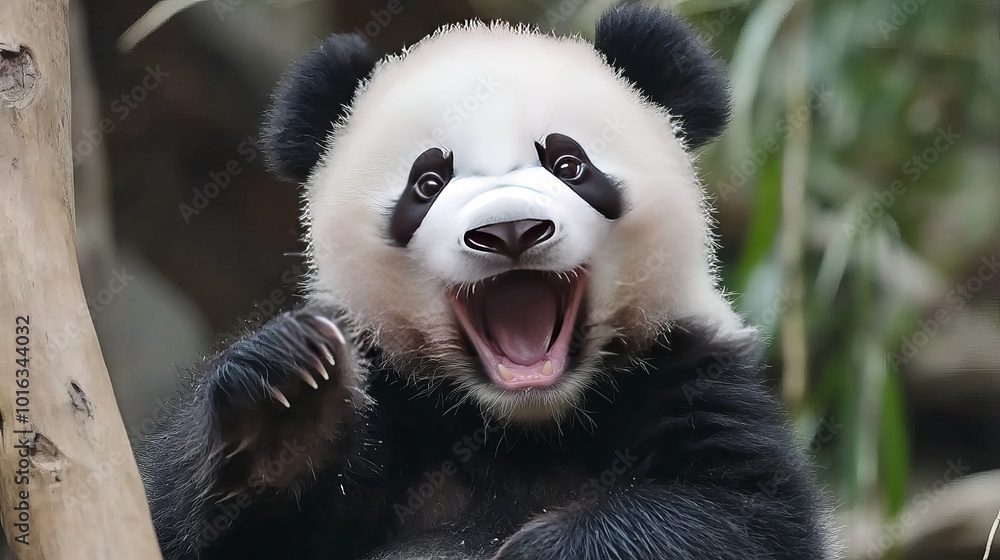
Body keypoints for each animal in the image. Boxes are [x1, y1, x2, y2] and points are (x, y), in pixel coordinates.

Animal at [138, 6, 836, 560]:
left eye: (569, 164)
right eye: (427, 182)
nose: (509, 230)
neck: (523, 425)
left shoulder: (693, 370)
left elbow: (740, 513)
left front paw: (545, 548)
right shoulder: (395, 398)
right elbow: (190, 527)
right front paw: (286, 407)